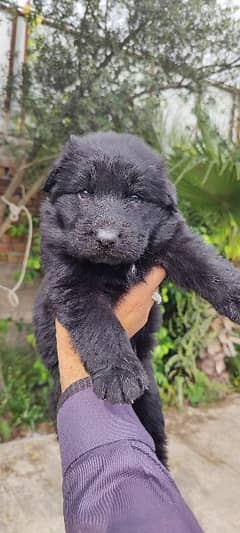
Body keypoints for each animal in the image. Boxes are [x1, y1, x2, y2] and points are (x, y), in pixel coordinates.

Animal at [33, 132, 240, 466]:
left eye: (135, 198)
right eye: (84, 192)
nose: (105, 238)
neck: (114, 267)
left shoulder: (173, 240)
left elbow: (207, 263)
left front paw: (236, 292)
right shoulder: (71, 283)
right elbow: (100, 325)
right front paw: (119, 373)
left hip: (151, 403)